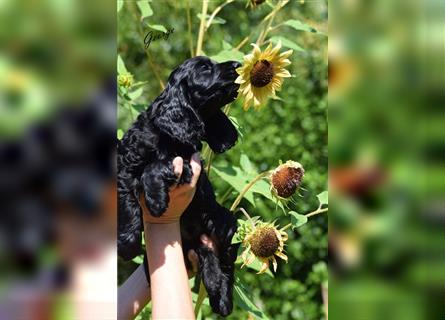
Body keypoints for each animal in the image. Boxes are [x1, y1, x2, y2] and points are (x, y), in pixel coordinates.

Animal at [118, 57, 241, 316]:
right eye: (205, 68)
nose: (237, 64)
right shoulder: (126, 163)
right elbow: (126, 199)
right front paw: (127, 244)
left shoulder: (186, 163)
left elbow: (154, 167)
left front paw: (155, 200)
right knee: (209, 258)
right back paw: (215, 285)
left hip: (226, 228)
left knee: (226, 262)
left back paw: (223, 300)